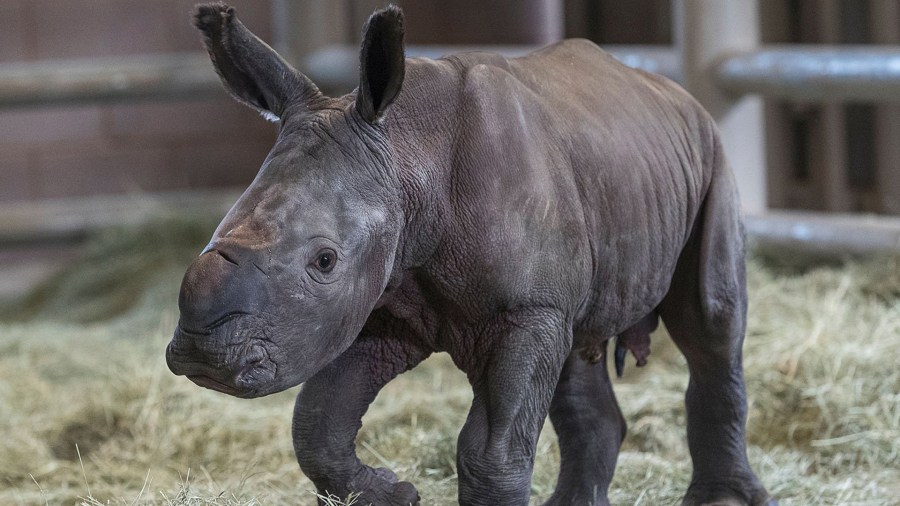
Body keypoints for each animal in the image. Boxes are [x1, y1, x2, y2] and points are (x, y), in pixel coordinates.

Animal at [167, 4, 772, 506]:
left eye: (324, 261)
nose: (202, 354)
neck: (408, 154)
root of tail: (670, 89)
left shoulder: (523, 308)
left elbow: (490, 452)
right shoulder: (385, 302)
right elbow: (317, 421)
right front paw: (395, 495)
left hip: (710, 157)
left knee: (710, 322)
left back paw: (723, 500)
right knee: (577, 349)